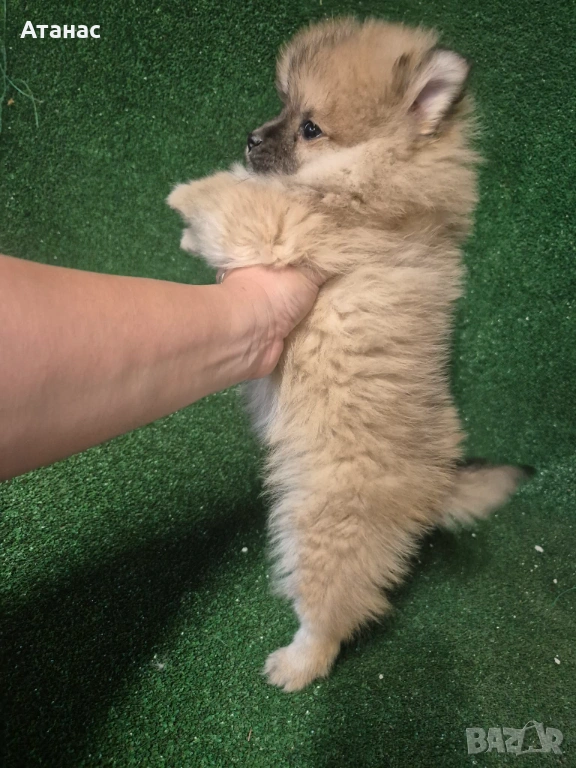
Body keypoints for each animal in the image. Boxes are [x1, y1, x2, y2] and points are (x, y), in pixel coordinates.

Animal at [168, 18, 529, 691]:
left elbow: (239, 198)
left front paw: (186, 195)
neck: (373, 187)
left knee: (331, 613)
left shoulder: (289, 227)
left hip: (327, 528)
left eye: (310, 128)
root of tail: (436, 486)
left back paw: (297, 663)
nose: (251, 139)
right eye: (283, 107)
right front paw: (191, 231)